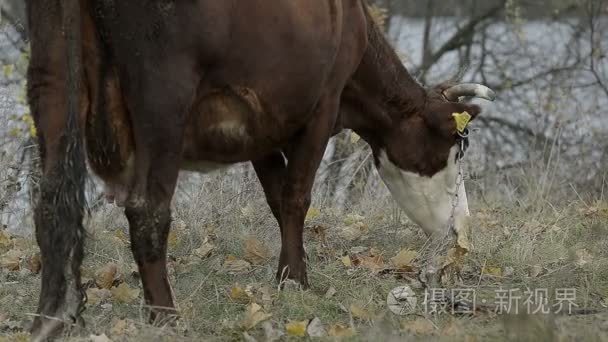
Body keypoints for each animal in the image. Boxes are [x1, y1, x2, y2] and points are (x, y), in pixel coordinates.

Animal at [26, 0, 494, 338]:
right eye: (457, 148)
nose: (463, 228)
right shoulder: (323, 105)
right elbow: (297, 196)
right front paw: (295, 279)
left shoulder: (259, 127)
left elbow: (275, 196)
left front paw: (291, 270)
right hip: (162, 95)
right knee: (147, 209)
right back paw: (165, 315)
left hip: (50, 77)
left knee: (51, 200)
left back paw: (52, 317)